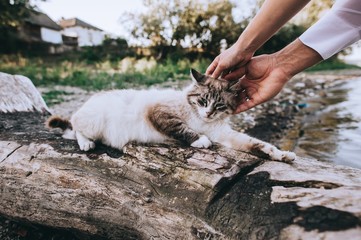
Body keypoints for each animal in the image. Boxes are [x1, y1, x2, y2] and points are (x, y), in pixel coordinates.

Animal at [47, 69, 296, 163]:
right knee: (74, 129)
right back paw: (86, 144)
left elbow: (257, 144)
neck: (200, 119)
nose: (208, 113)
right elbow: (183, 129)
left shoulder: (222, 133)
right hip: (93, 121)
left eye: (219, 106)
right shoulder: (160, 113)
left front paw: (282, 155)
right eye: (203, 101)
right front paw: (201, 141)